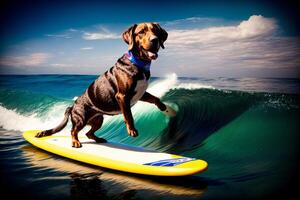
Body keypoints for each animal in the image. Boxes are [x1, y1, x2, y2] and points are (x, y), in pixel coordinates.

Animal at [35, 22, 176, 148]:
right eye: (141, 32)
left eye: (156, 31)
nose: (155, 40)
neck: (138, 63)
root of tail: (72, 106)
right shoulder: (122, 96)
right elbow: (128, 115)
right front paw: (132, 130)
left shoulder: (141, 93)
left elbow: (155, 98)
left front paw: (166, 109)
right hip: (81, 118)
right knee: (73, 130)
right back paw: (75, 142)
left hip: (98, 120)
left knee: (88, 133)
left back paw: (98, 139)